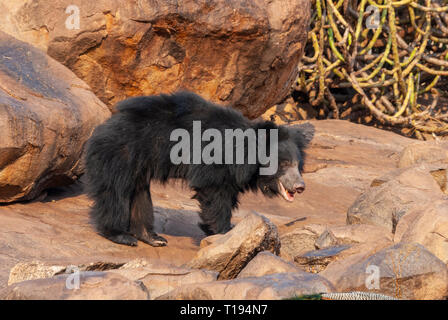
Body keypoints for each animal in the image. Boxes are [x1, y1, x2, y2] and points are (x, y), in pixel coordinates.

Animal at [86, 92, 314, 248]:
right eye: (284, 164)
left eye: (297, 164)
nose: (300, 186)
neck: (243, 150)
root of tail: (104, 126)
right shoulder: (216, 158)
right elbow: (214, 191)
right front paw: (224, 231)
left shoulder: (232, 171)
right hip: (121, 153)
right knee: (115, 191)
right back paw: (120, 235)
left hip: (138, 166)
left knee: (139, 194)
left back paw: (152, 237)